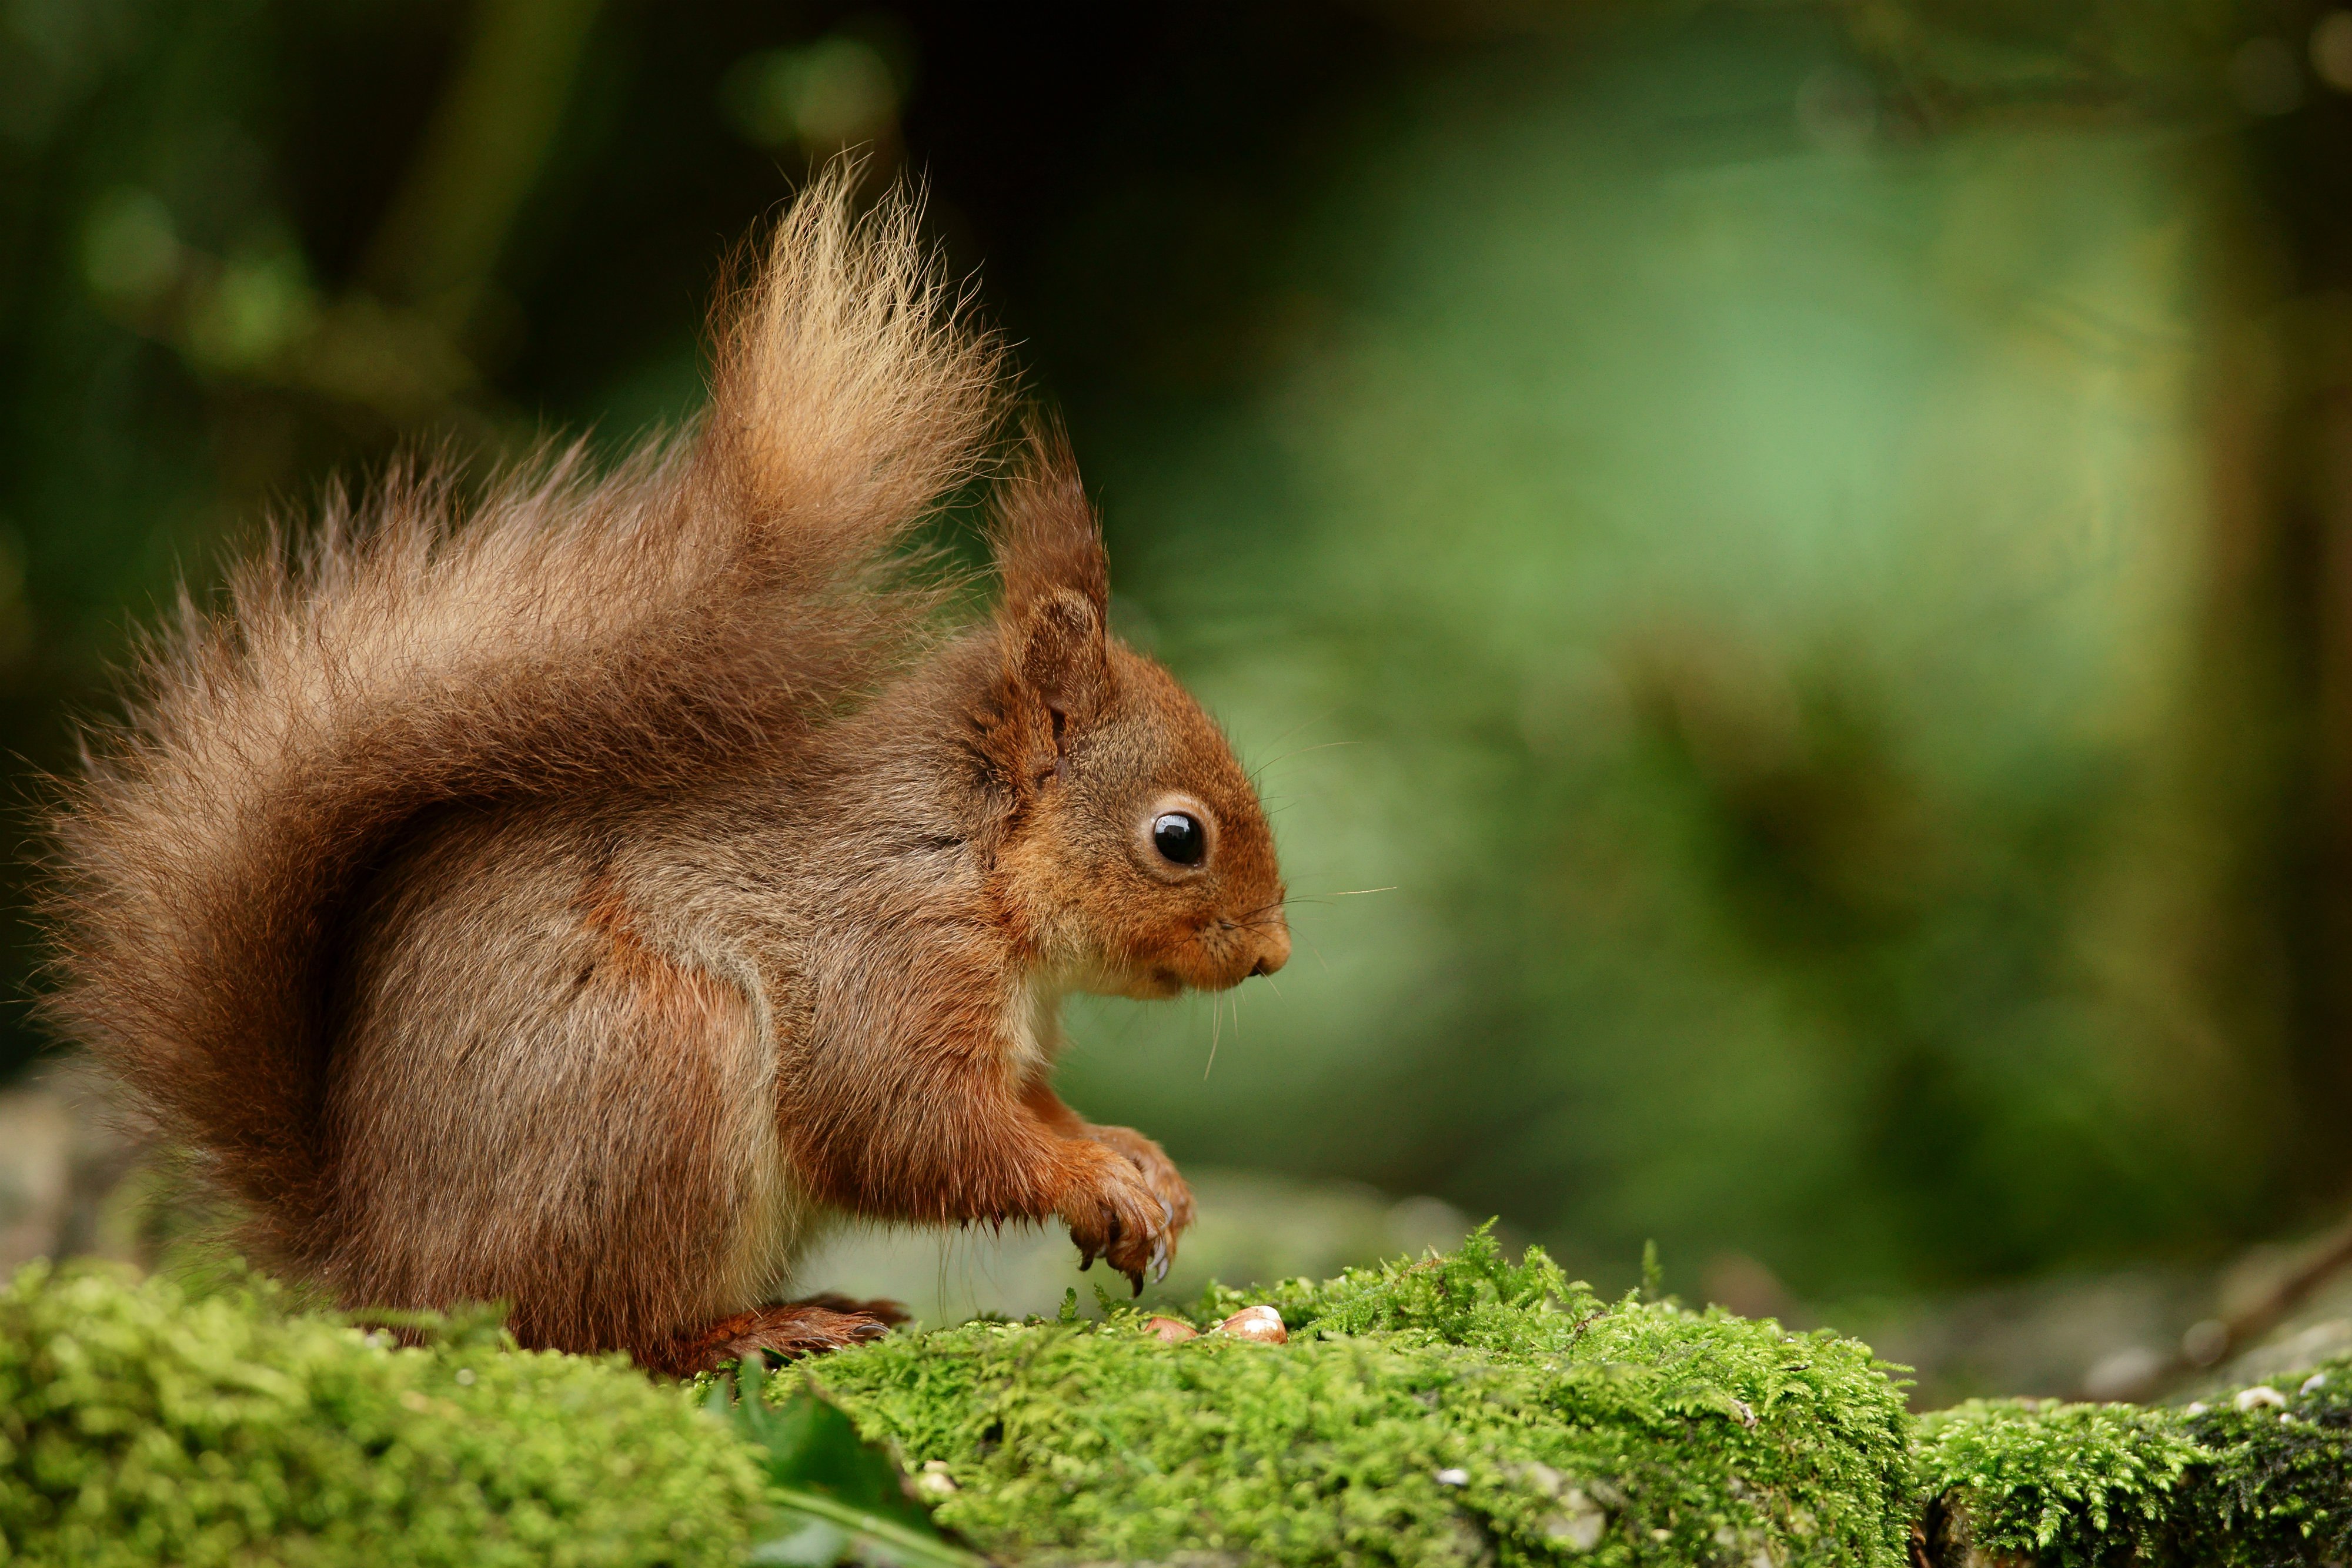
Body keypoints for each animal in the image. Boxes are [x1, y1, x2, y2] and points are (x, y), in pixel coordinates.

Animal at [41, 175, 1289, 1373]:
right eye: (1178, 838)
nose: (1274, 954)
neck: (973, 855)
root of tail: (383, 1273)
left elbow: (1029, 1109)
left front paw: (1136, 1158)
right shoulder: (882, 952)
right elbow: (908, 1125)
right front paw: (1093, 1179)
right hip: (663, 1073)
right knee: (598, 1330)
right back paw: (758, 1330)